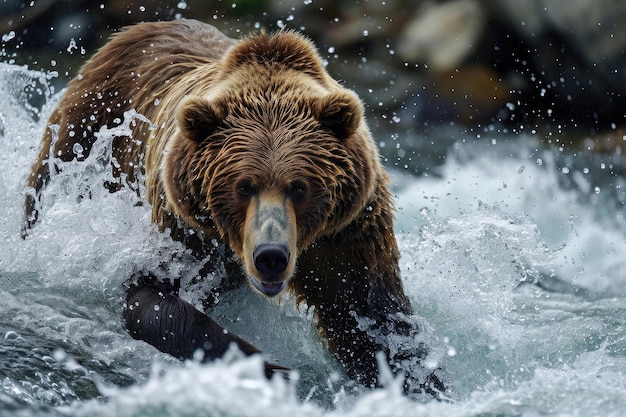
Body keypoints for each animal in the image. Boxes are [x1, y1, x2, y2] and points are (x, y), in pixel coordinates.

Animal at [23, 18, 444, 396]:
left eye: (300, 187)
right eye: (243, 186)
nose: (271, 255)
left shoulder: (347, 233)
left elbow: (368, 321)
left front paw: (421, 385)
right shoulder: (186, 226)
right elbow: (152, 295)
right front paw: (270, 366)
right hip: (89, 132)